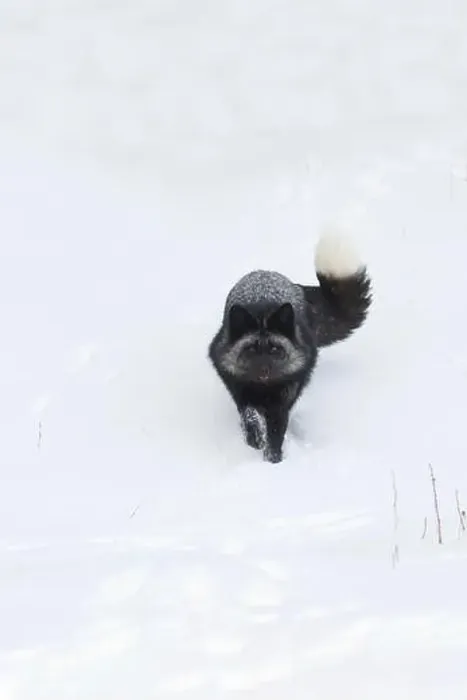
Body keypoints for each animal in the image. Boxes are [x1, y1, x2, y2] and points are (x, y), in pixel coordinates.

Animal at [208, 232, 372, 463]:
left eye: (276, 349)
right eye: (250, 349)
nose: (264, 371)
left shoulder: (283, 400)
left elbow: (277, 430)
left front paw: (273, 459)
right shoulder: (239, 390)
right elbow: (249, 416)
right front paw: (254, 440)